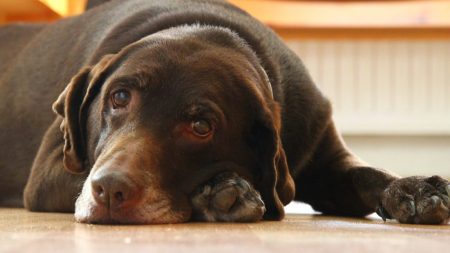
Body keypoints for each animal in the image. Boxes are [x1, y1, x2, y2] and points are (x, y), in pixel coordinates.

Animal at [0, 0, 450, 225]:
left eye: (201, 126)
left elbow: (370, 174)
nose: (109, 191)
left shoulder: (323, 151)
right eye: (119, 97)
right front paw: (222, 193)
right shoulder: (52, 170)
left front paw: (414, 189)